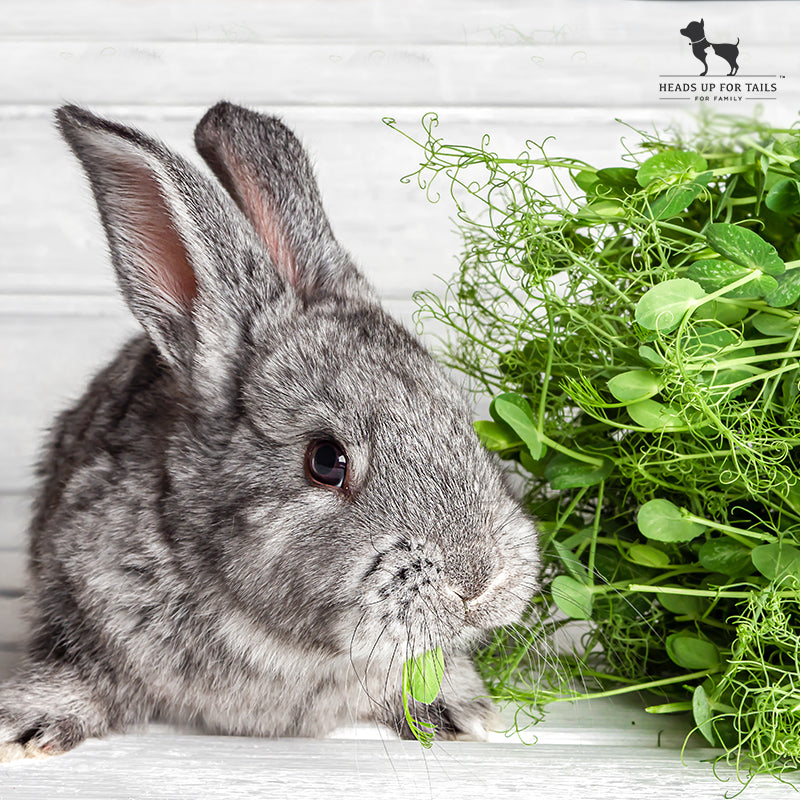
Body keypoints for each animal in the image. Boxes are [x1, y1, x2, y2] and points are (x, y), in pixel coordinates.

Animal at [0, 102, 540, 762]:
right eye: (327, 461)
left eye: (461, 418)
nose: (481, 581)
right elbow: (76, 670)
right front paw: (24, 725)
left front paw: (462, 712)